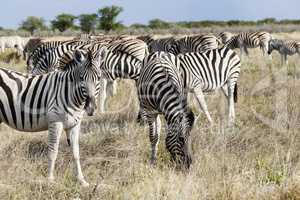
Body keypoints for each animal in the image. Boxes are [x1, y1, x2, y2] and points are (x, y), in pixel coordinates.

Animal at [0, 49, 105, 187]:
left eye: (98, 77)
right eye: (81, 78)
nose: (91, 107)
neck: (69, 93)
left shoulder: (74, 125)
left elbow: (76, 152)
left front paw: (81, 180)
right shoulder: (55, 122)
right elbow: (53, 151)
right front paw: (50, 180)